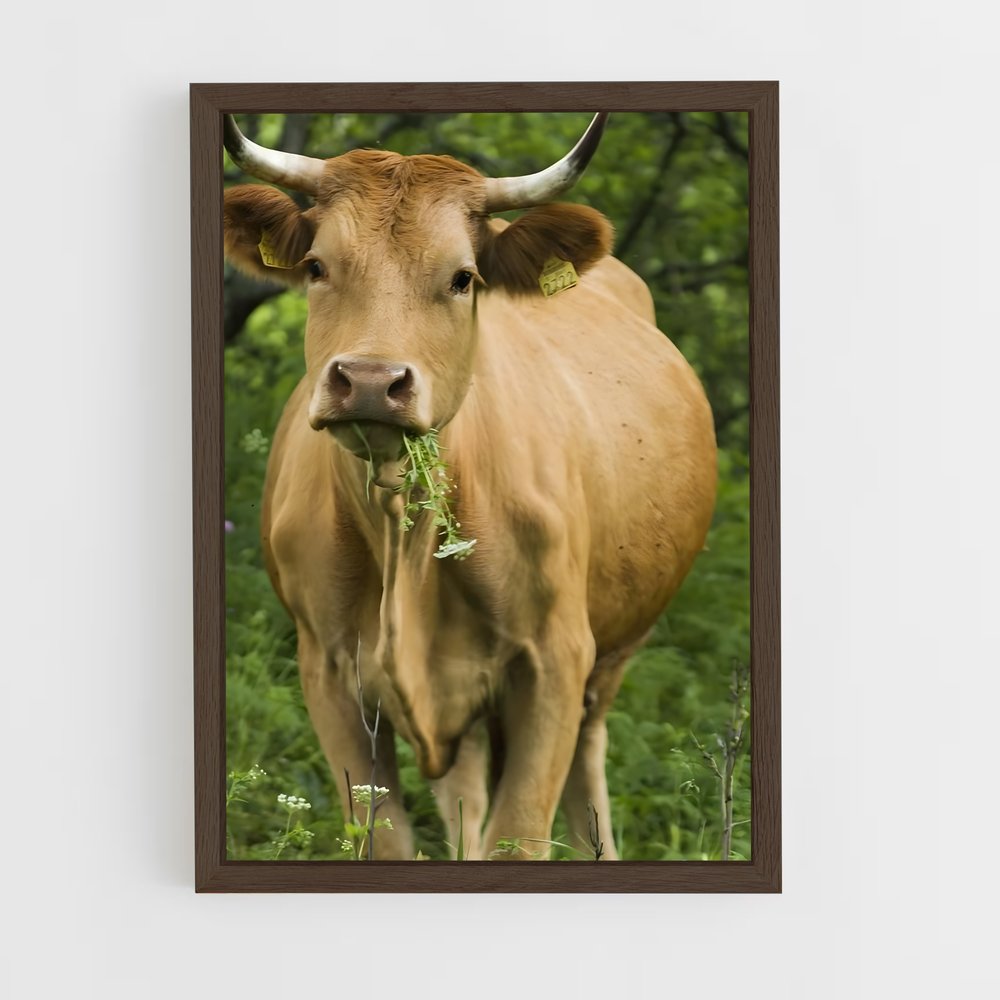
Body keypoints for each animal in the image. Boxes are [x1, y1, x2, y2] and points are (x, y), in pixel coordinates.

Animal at [222, 113, 717, 860]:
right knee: (466, 798)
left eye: (462, 278)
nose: (370, 381)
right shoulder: (327, 669)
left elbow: (520, 833)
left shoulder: (554, 663)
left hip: (612, 654)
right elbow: (386, 837)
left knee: (587, 770)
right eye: (316, 267)